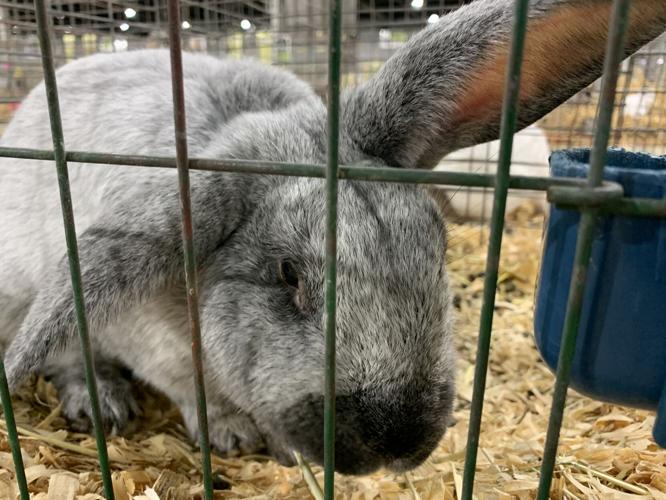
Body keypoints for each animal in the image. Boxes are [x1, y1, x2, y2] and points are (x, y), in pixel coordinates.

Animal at [0, 0, 664, 475]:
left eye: (438, 250)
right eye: (287, 274)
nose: (397, 445)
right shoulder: (147, 339)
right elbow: (192, 389)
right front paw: (234, 433)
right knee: (62, 353)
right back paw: (101, 401)